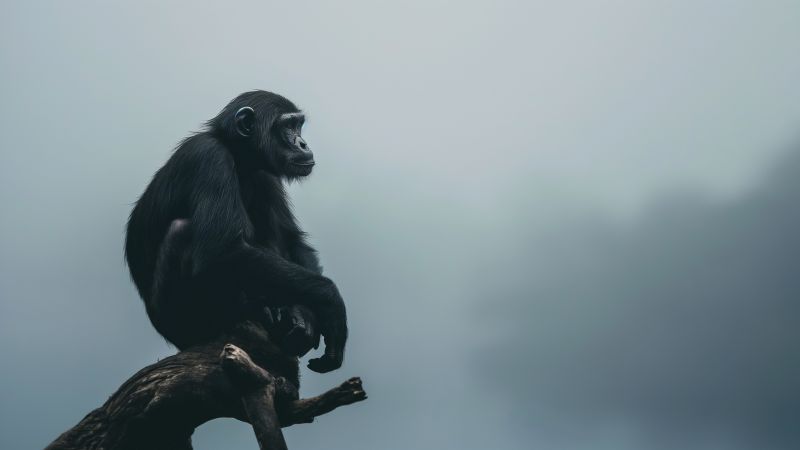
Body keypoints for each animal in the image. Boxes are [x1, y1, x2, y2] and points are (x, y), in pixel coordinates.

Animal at [125, 90, 347, 373]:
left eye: (299, 125)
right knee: (181, 231)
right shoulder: (209, 158)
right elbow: (222, 250)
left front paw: (304, 316)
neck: (239, 156)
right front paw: (332, 303)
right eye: (288, 126)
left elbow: (292, 240)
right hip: (181, 324)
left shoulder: (266, 174)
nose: (303, 143)